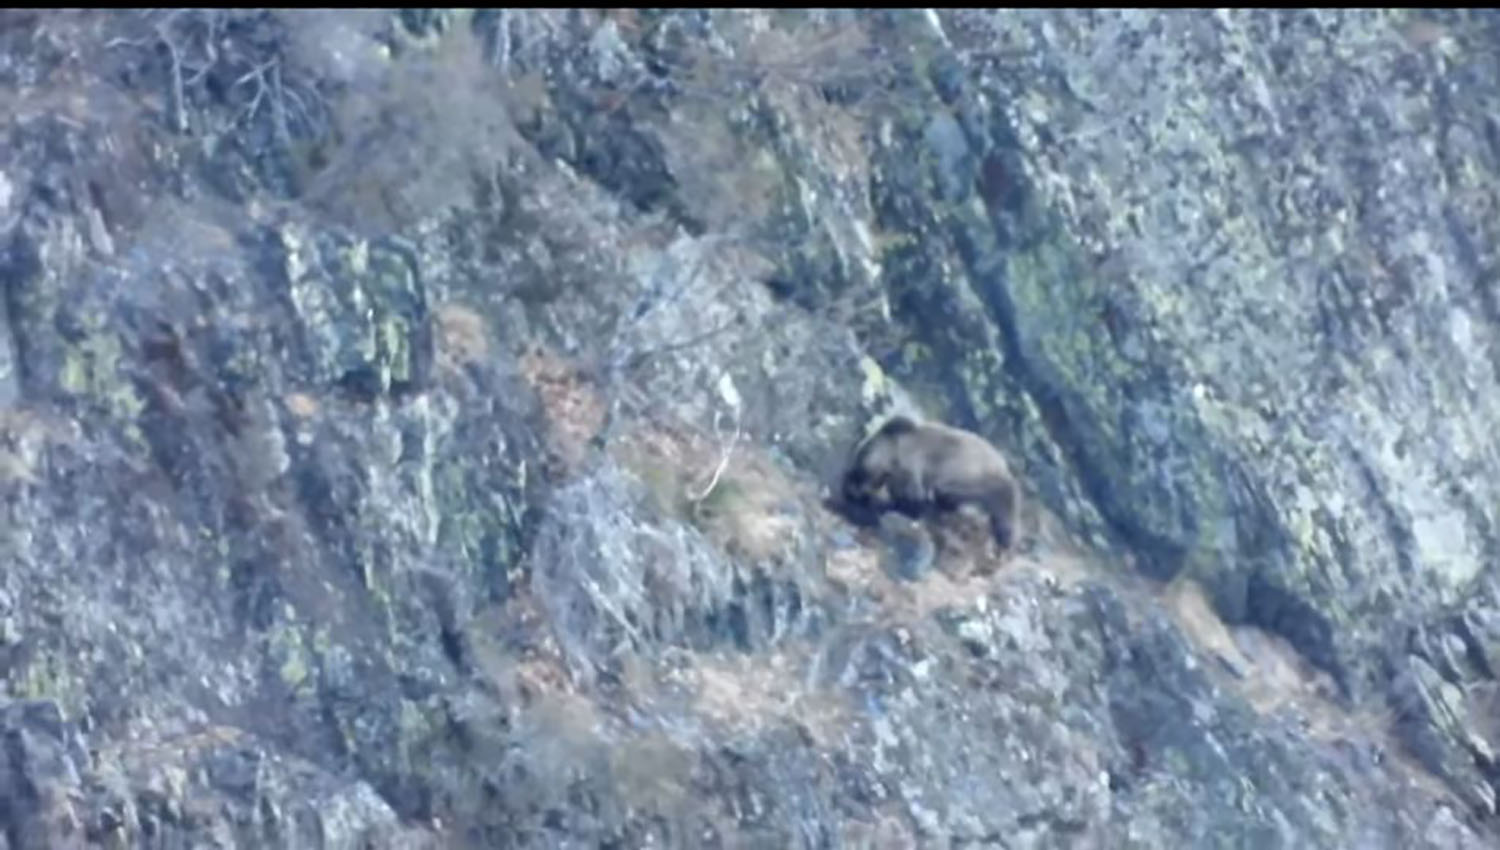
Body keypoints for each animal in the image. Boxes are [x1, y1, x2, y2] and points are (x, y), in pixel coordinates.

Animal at [839, 414, 1020, 550]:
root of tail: (1005, 468)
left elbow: (911, 497)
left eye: (859, 471)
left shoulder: (911, 466)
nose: (850, 490)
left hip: (976, 479)